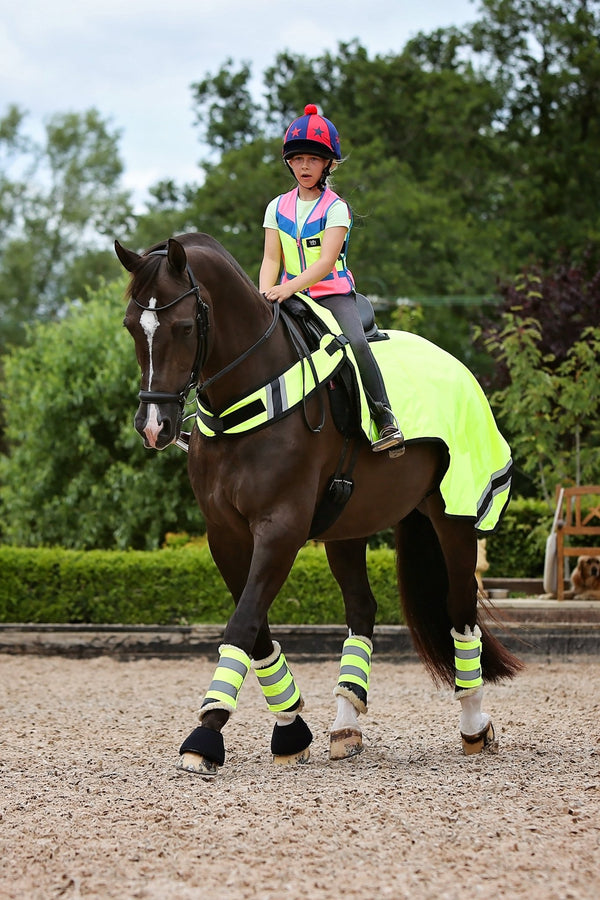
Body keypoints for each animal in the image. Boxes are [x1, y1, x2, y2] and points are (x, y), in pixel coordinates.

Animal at [115, 232, 523, 776]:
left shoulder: (280, 528)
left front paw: (206, 734)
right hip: (349, 527)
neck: (250, 397)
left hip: (452, 516)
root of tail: (456, 365)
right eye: (131, 326)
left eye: (183, 327)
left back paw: (474, 723)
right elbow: (256, 628)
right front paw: (291, 731)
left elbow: (243, 621)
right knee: (363, 609)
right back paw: (346, 723)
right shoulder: (225, 534)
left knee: (460, 609)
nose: (153, 426)